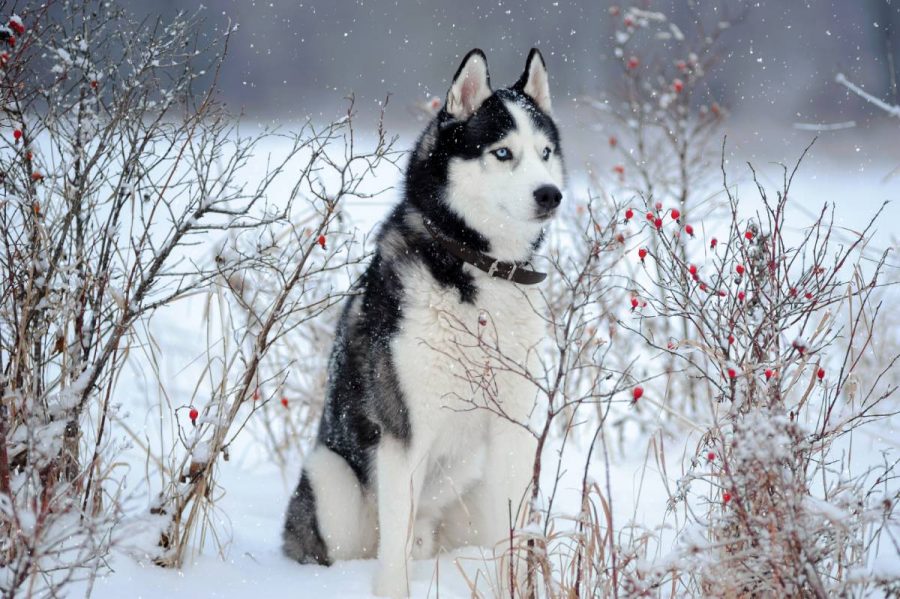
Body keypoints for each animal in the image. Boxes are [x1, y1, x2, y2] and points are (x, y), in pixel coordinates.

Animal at [284, 48, 564, 599]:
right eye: (503, 153)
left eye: (545, 152)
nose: (550, 194)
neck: (476, 269)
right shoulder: (403, 434)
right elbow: (394, 548)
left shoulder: (514, 431)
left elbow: (515, 531)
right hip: (333, 485)